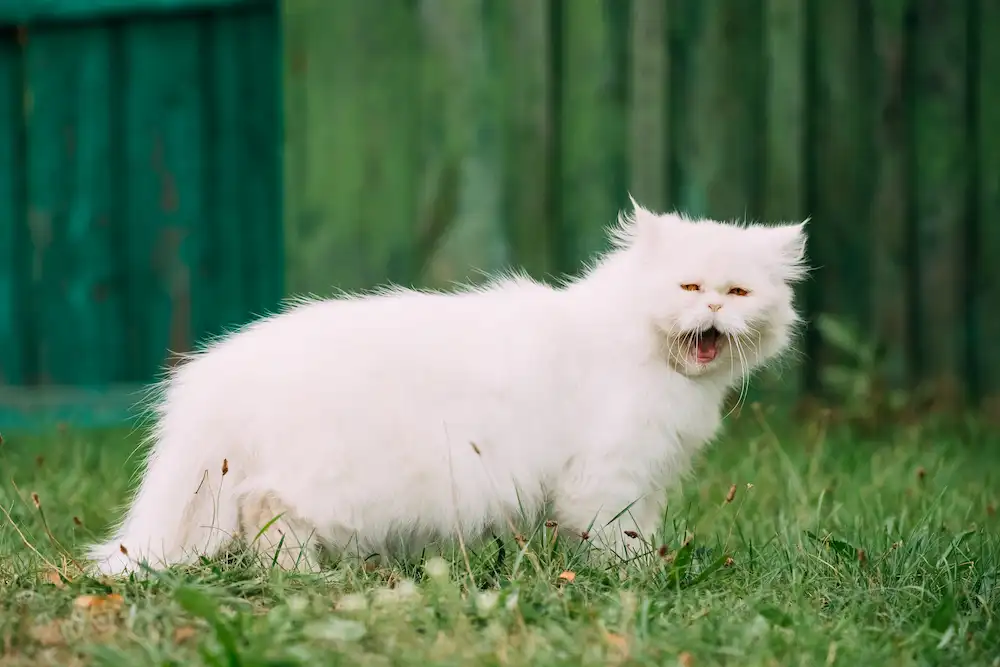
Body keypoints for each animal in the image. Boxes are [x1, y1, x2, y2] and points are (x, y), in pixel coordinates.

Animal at [84, 197, 804, 576]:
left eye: (739, 292)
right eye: (690, 286)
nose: (713, 308)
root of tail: (219, 369)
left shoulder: (647, 477)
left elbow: (641, 531)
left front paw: (648, 573)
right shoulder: (609, 473)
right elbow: (611, 538)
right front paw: (632, 584)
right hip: (327, 482)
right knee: (269, 512)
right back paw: (306, 577)